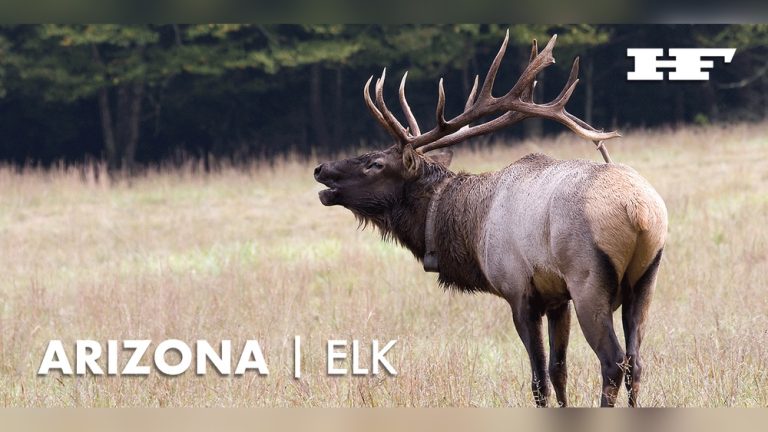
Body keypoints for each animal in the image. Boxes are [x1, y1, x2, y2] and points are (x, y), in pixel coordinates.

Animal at [313, 31, 667, 407]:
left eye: (376, 164)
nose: (321, 169)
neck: (472, 230)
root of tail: (640, 212)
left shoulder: (519, 291)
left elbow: (538, 379)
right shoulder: (558, 298)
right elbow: (559, 371)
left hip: (588, 278)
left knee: (614, 360)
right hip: (646, 277)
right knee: (636, 362)